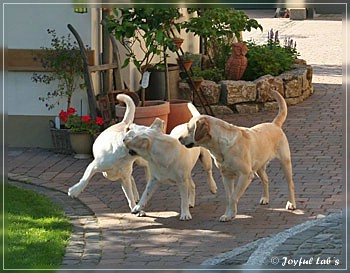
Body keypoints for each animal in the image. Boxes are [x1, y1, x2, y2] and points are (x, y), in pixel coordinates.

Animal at [179, 90, 296, 221]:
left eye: (189, 129)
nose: (179, 138)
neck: (221, 145)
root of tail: (274, 124)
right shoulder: (227, 176)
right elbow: (228, 197)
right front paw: (229, 214)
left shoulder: (246, 175)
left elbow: (234, 196)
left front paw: (230, 214)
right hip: (258, 167)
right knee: (265, 179)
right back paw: (265, 198)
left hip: (285, 163)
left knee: (290, 184)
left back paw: (291, 204)